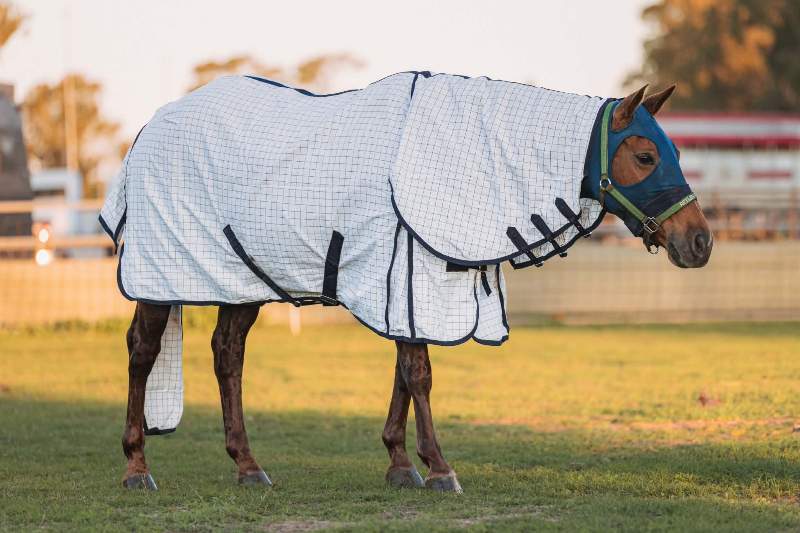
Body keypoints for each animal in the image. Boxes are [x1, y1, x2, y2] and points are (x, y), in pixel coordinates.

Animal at [109, 76, 712, 492]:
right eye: (645, 155)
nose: (700, 241)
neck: (471, 157)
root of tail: (148, 129)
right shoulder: (410, 273)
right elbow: (419, 373)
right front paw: (440, 468)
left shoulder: (411, 282)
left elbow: (404, 371)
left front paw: (401, 464)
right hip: (158, 275)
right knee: (143, 351)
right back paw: (136, 466)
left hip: (244, 280)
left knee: (227, 354)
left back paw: (248, 465)